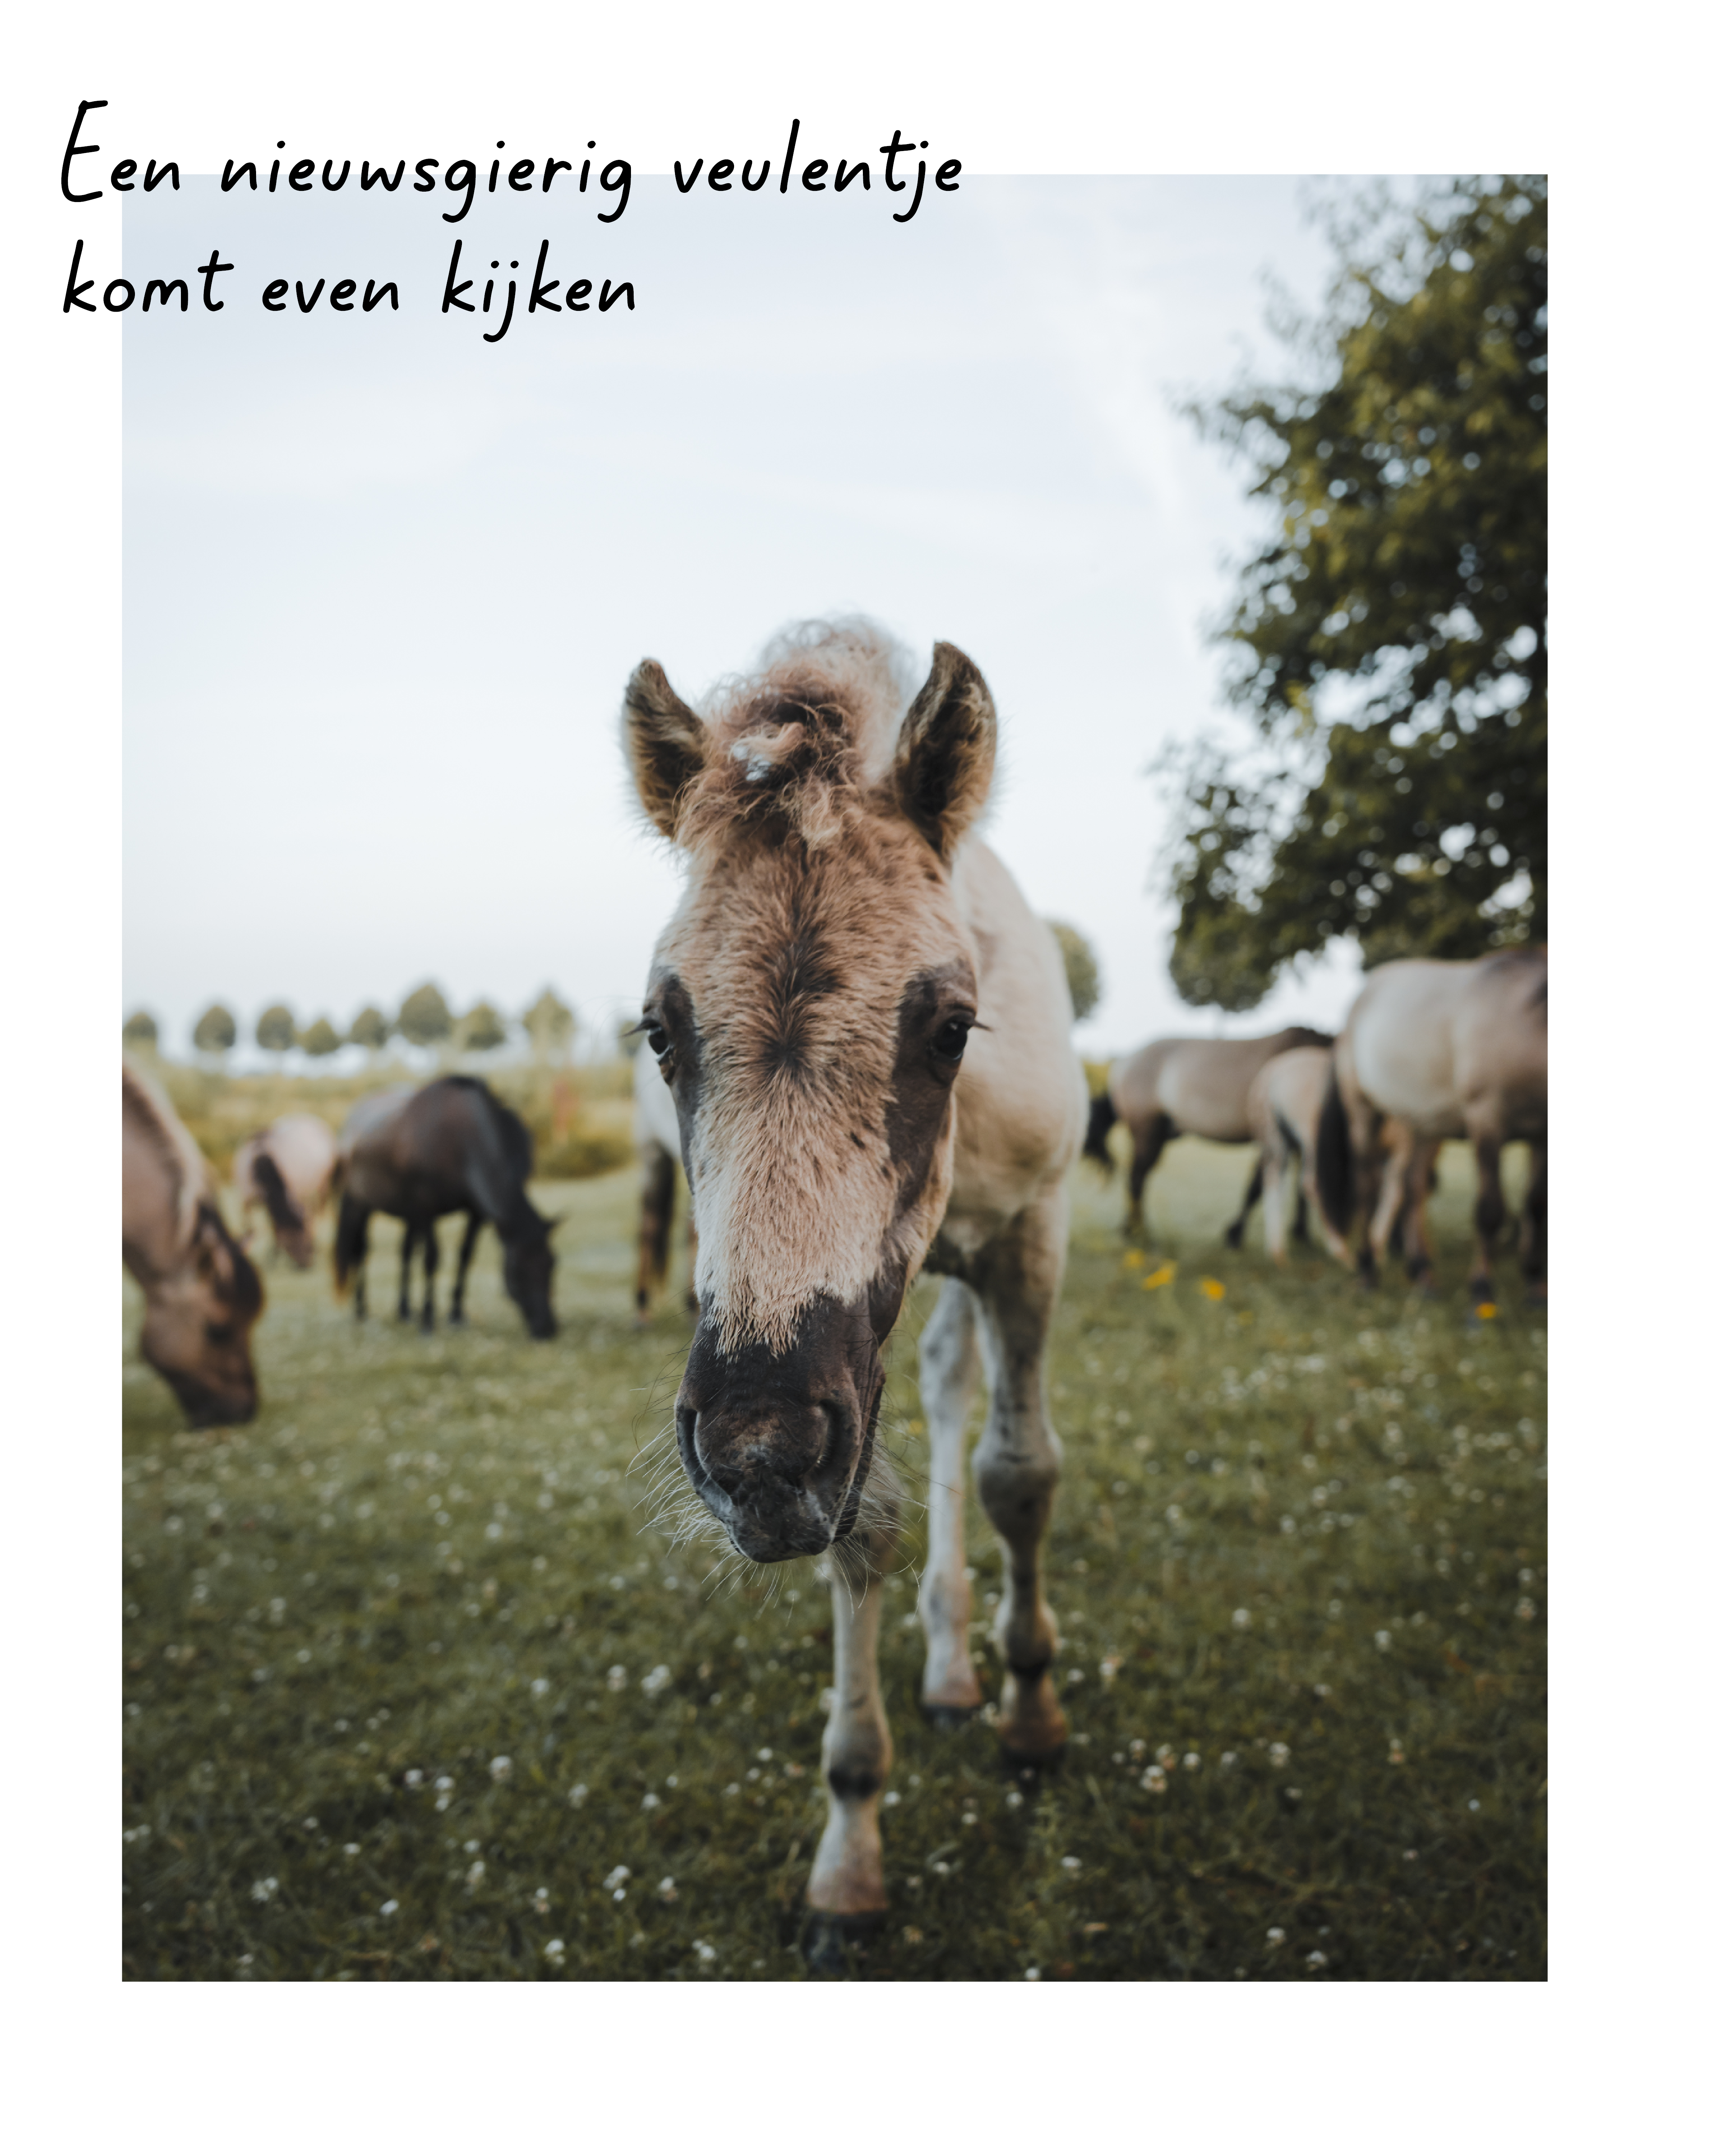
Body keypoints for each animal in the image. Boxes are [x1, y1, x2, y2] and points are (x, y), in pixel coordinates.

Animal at [232, 1113, 339, 1268]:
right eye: (301, 1240)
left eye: (308, 1241)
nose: (308, 1264)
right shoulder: (246, 1200)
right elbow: (251, 1227)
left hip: (321, 1187)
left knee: (318, 1213)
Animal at [334, 1077, 558, 1337]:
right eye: (518, 1270)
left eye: (552, 1264)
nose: (547, 1328)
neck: (459, 1139)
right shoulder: (425, 1209)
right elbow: (432, 1259)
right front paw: (428, 1319)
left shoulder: (475, 1213)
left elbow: (465, 1255)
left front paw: (456, 1314)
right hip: (359, 1204)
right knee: (360, 1251)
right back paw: (361, 1310)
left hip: (407, 1216)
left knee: (406, 1252)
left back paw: (405, 1310)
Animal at [622, 616, 1086, 1964]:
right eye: (660, 1033)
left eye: (951, 1027)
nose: (756, 1451)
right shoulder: (844, 1406)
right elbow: (863, 1527)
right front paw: (851, 1857)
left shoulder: (1032, 1237)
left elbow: (1018, 1474)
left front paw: (1033, 1715)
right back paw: (944, 1667)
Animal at [1083, 1026, 1334, 1243]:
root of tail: (1124, 1062)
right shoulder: (1271, 1141)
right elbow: (1256, 1187)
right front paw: (1235, 1233)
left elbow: (1300, 1190)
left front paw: (1301, 1233)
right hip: (1147, 1134)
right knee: (1137, 1178)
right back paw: (1137, 1231)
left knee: (1138, 1177)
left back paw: (1131, 1228)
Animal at [1315, 950, 1547, 1306]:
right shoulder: (1487, 1120)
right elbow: (1490, 1211)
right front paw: (1481, 1291)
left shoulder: (1541, 1133)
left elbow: (1537, 1207)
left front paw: (1535, 1288)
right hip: (1365, 1114)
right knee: (1368, 1188)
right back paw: (1368, 1272)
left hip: (1421, 1123)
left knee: (1412, 1187)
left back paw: (1423, 1276)